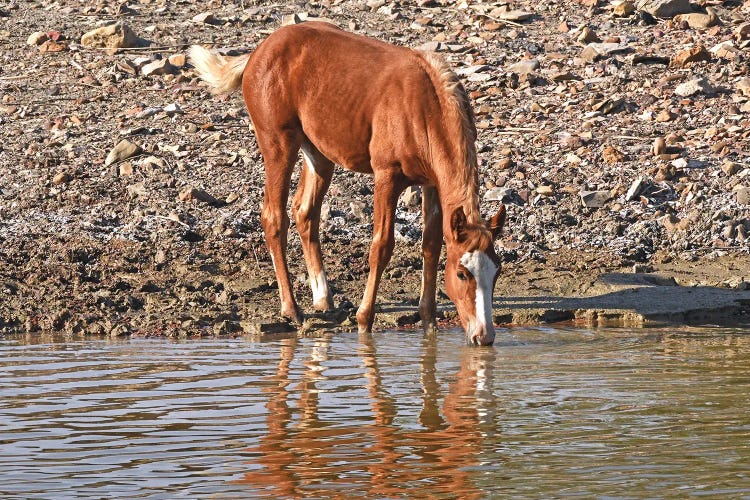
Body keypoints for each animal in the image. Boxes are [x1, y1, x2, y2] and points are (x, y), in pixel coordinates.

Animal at [189, 22, 506, 344]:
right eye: (462, 274)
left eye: (497, 272)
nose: (484, 336)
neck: (424, 108)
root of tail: (259, 51)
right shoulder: (387, 177)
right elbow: (381, 246)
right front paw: (364, 320)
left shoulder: (431, 183)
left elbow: (430, 245)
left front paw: (428, 322)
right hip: (278, 145)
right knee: (274, 217)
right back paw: (291, 309)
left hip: (318, 154)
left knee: (305, 212)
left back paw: (322, 298)